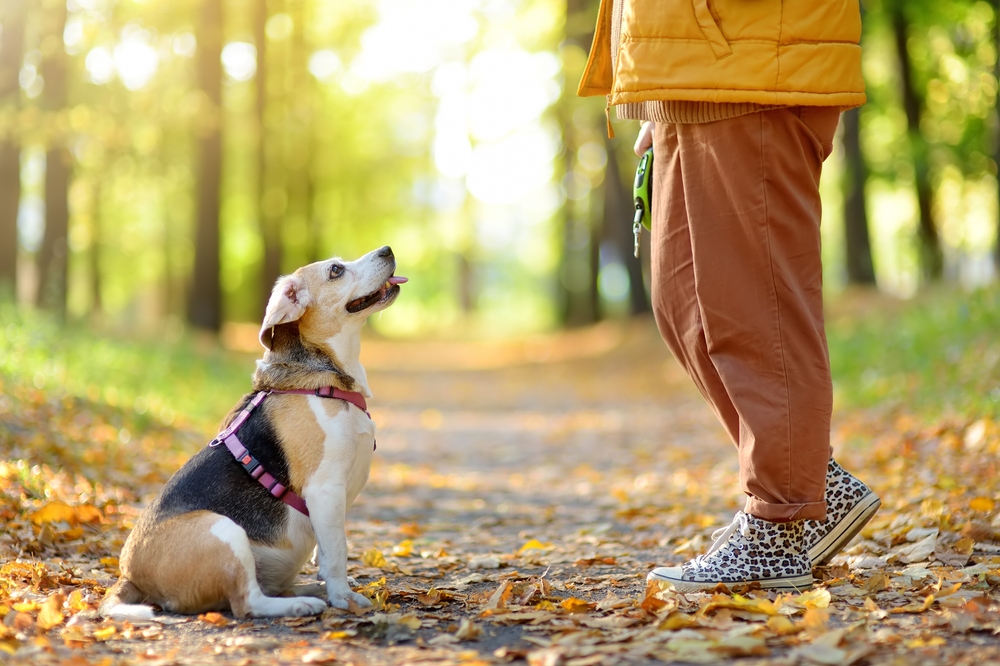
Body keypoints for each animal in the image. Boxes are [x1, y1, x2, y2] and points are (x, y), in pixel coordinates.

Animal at [100, 244, 406, 616]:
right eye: (336, 270)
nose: (387, 249)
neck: (325, 383)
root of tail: (129, 576)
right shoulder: (325, 490)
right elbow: (337, 553)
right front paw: (343, 597)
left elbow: (326, 550)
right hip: (223, 530)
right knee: (248, 603)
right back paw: (302, 604)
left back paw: (307, 592)